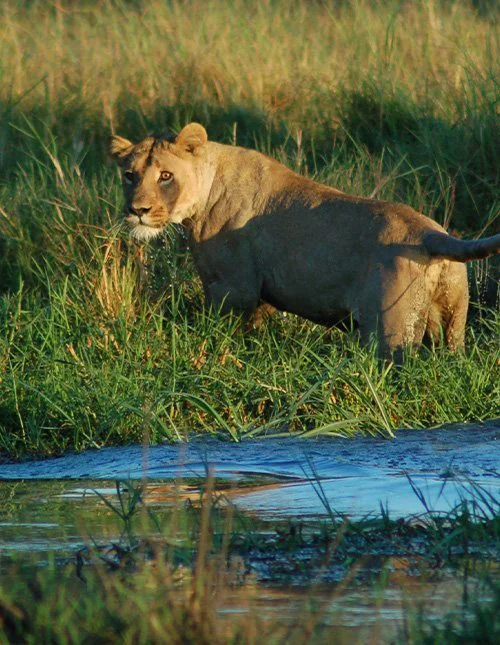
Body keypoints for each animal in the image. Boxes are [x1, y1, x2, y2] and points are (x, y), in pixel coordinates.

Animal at [110, 123, 499, 358]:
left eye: (165, 176)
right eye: (129, 175)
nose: (137, 210)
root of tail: (428, 233)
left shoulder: (232, 289)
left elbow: (219, 328)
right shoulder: (260, 294)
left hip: (390, 330)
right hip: (452, 323)